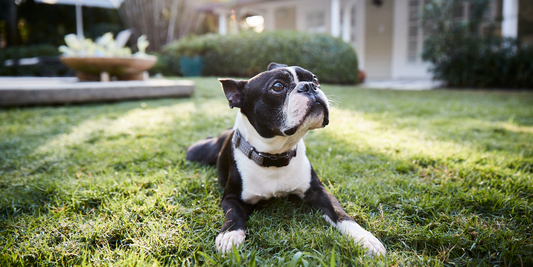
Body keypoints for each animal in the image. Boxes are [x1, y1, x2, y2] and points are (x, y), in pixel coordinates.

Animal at [185, 62, 384, 258]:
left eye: (315, 80)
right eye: (278, 87)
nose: (309, 86)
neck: (275, 156)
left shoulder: (318, 191)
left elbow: (340, 212)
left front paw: (365, 238)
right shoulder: (231, 198)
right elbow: (233, 214)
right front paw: (230, 235)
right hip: (196, 153)